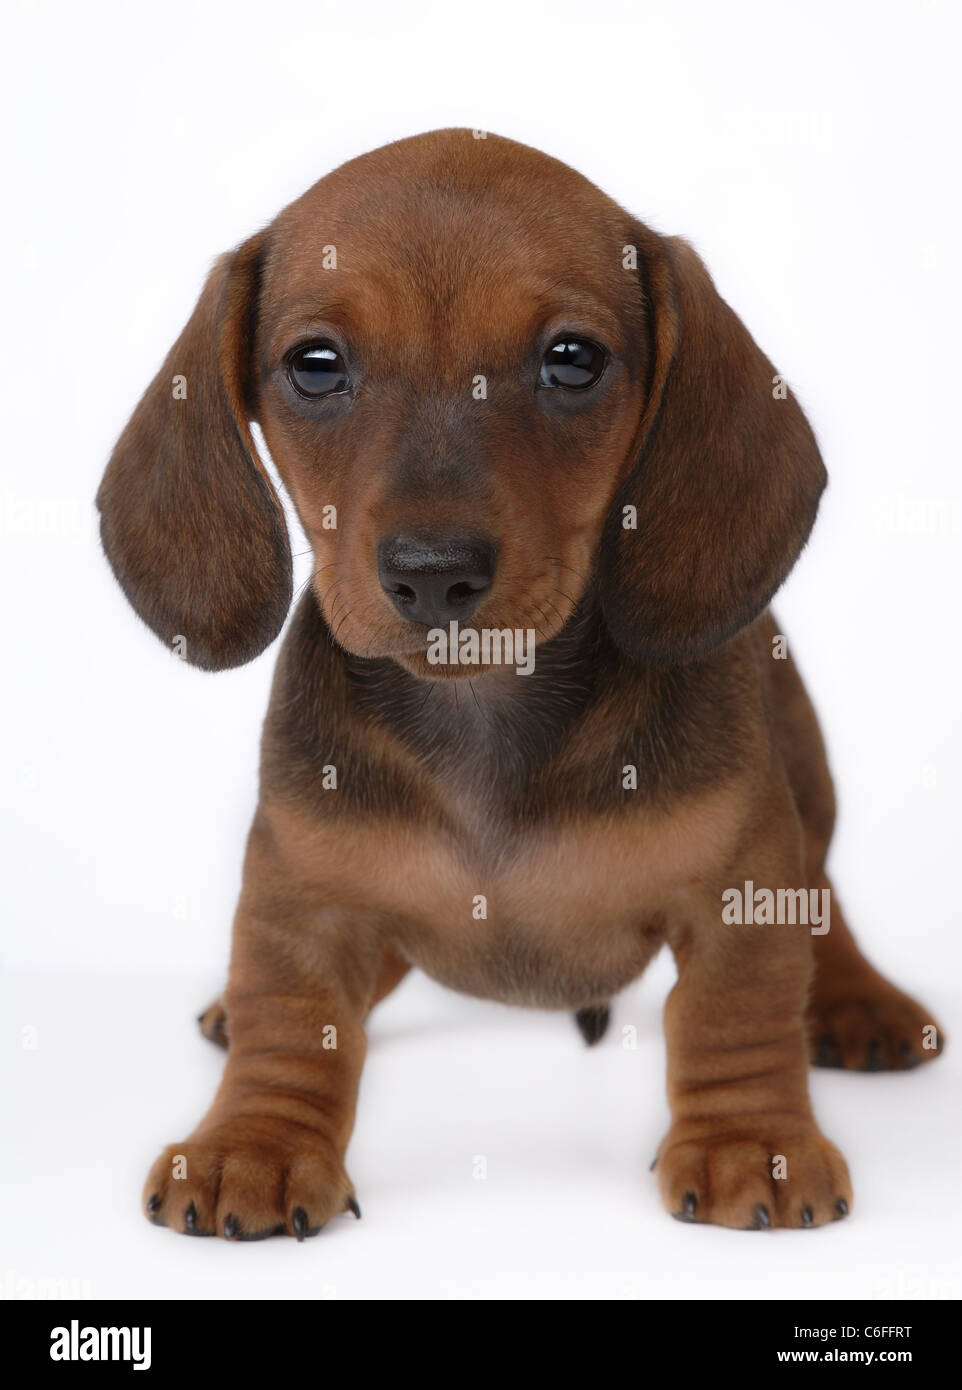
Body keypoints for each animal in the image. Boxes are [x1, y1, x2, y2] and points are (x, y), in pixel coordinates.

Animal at [95, 130, 939, 1239]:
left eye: (571, 359)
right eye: (314, 366)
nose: (432, 572)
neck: (485, 713)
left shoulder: (741, 880)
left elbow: (733, 1009)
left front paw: (747, 1141)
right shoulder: (298, 888)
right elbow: (294, 1014)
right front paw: (256, 1145)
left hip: (805, 774)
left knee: (825, 893)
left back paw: (854, 997)